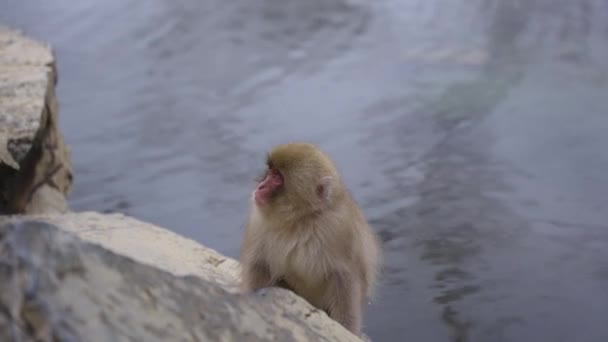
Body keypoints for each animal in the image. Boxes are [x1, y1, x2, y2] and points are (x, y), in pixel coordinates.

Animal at [239, 142, 378, 336]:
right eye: (270, 171)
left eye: (277, 178)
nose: (261, 187)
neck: (298, 221)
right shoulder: (258, 223)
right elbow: (260, 266)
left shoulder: (340, 229)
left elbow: (345, 281)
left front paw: (348, 329)